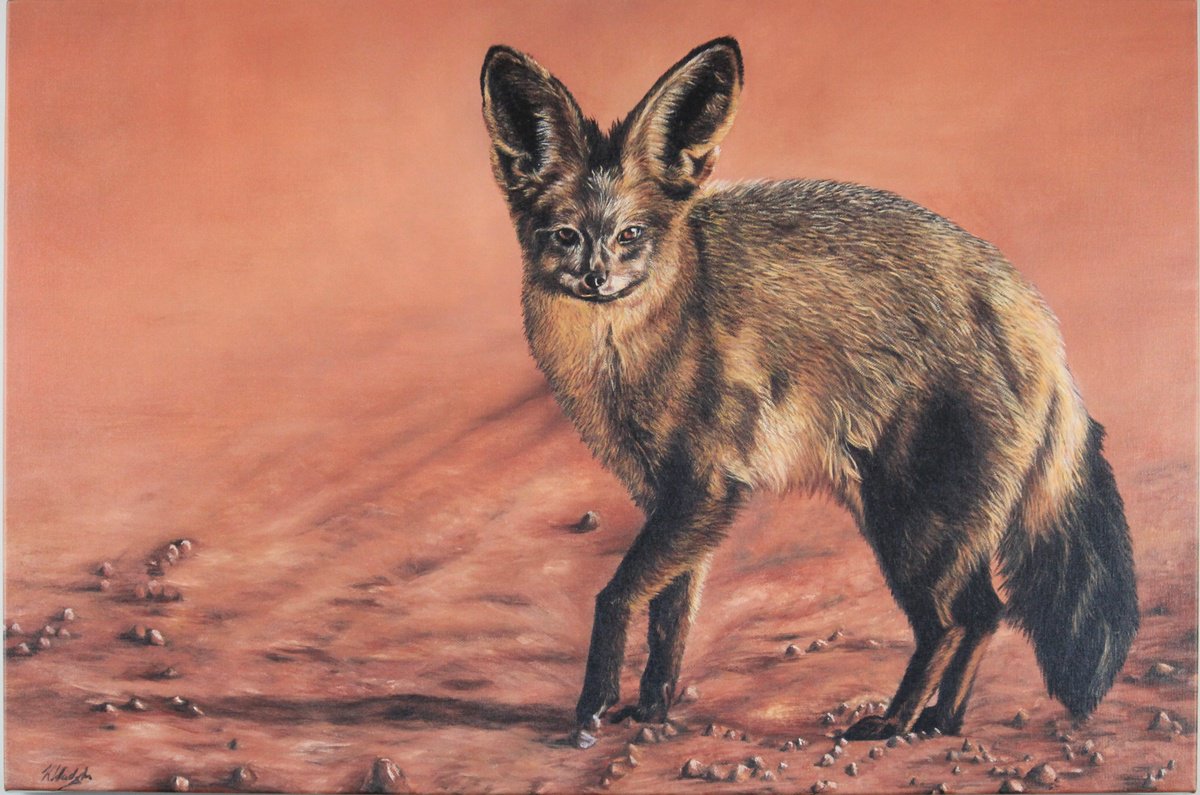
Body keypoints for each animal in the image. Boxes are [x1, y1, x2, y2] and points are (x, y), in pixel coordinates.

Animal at [479, 36, 1138, 747]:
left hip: (910, 529)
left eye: (630, 234)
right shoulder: (670, 499)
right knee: (987, 614)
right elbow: (670, 620)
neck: (633, 355)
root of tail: (1040, 326)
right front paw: (651, 710)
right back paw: (941, 721)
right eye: (565, 235)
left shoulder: (704, 491)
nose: (596, 279)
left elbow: (616, 597)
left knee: (950, 623)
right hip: (924, 527)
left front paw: (595, 703)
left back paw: (896, 720)